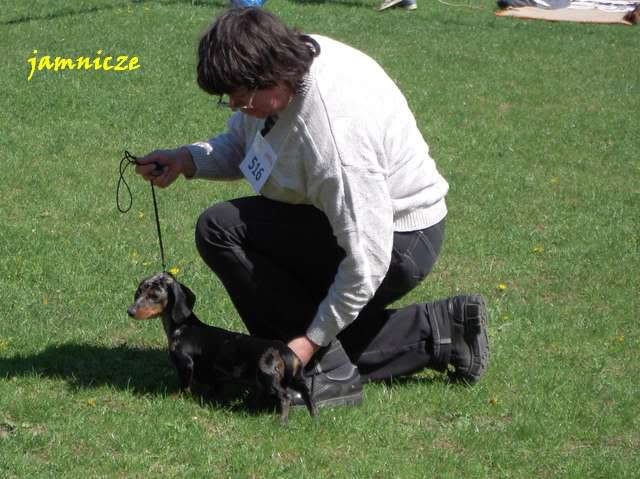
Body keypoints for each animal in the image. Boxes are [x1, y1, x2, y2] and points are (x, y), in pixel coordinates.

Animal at [127, 272, 317, 423]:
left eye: (154, 296)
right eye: (139, 292)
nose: (130, 312)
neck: (183, 326)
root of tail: (284, 350)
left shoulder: (185, 364)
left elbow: (184, 386)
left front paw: (176, 398)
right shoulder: (215, 377)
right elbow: (214, 388)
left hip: (269, 378)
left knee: (285, 397)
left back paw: (282, 421)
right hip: (295, 377)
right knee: (307, 393)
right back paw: (314, 417)